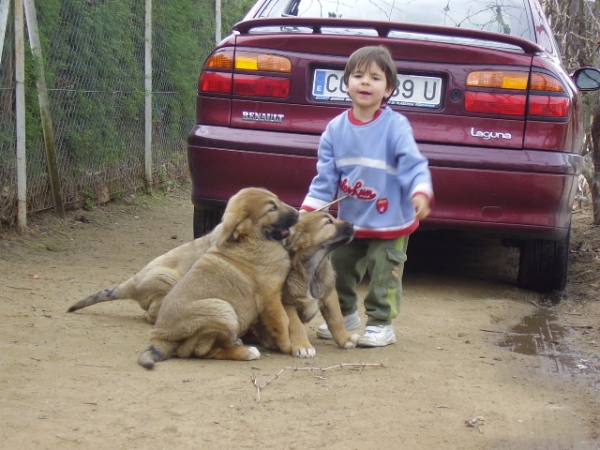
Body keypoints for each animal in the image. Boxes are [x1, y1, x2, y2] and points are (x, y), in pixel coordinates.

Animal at [139, 187, 300, 370]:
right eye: (272, 208)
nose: (298, 213)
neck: (251, 239)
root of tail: (160, 338)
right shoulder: (270, 298)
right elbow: (283, 321)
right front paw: (287, 345)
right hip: (222, 309)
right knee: (205, 351)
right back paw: (247, 352)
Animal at [251, 211, 358, 358]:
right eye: (328, 222)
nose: (353, 224)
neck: (311, 272)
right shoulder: (287, 304)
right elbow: (296, 325)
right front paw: (303, 346)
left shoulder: (329, 295)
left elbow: (337, 319)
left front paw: (345, 339)